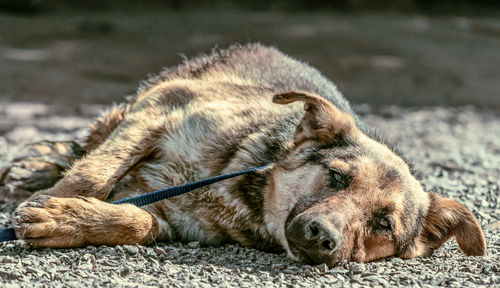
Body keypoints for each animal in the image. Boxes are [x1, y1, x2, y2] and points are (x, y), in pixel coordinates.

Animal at [2, 43, 484, 268]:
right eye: (336, 177)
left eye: (383, 224)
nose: (322, 237)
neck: (241, 187)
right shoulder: (161, 108)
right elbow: (93, 174)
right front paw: (53, 204)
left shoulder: (173, 222)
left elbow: (135, 221)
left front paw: (65, 219)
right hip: (140, 101)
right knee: (88, 145)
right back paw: (37, 168)